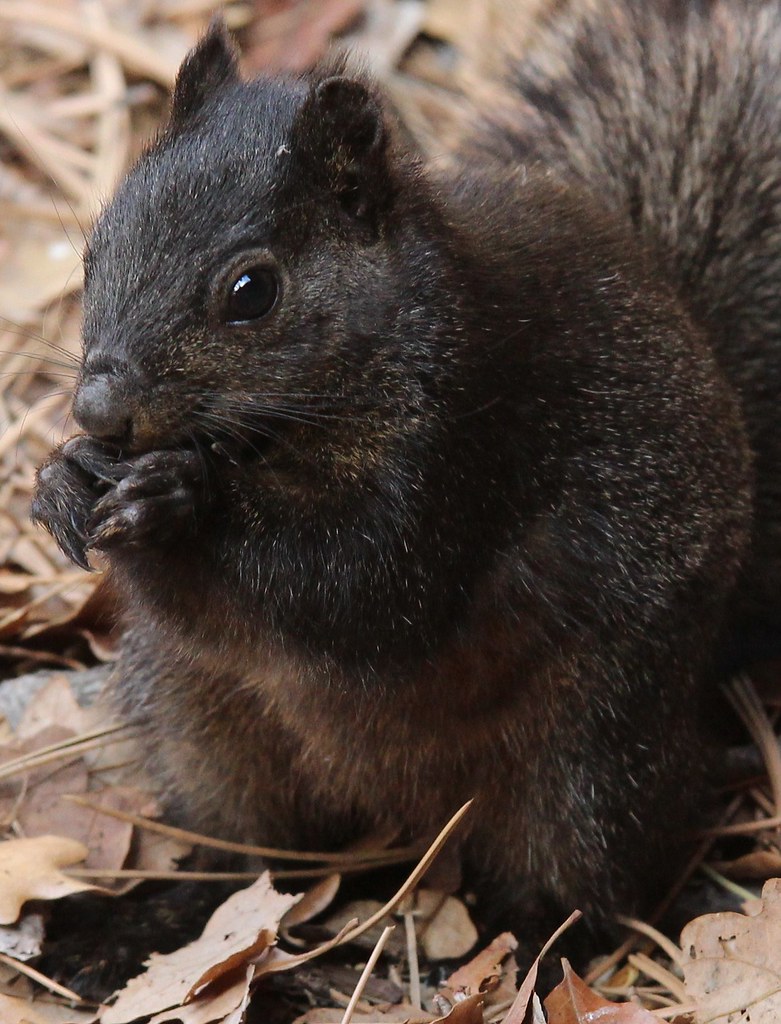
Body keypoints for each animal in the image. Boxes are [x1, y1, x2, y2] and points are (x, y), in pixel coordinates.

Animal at [30, 0, 780, 969]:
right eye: (94, 252)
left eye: (250, 290)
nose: (99, 408)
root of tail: (395, 799)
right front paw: (60, 482)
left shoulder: (459, 446)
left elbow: (365, 589)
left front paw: (181, 504)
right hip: (199, 715)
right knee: (249, 849)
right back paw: (151, 916)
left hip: (593, 751)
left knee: (590, 874)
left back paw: (525, 938)